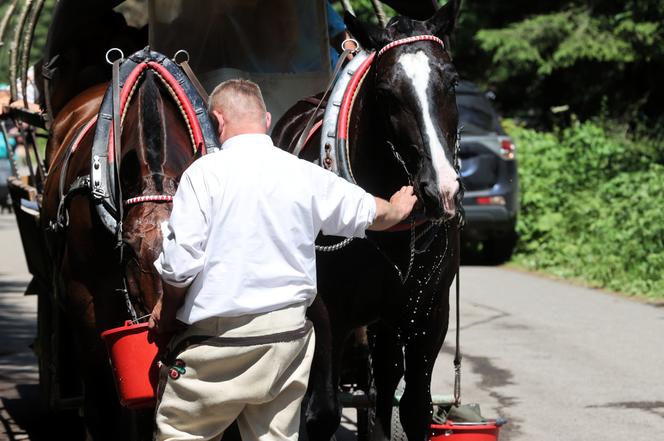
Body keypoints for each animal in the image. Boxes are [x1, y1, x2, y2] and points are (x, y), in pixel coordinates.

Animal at [272, 1, 462, 438]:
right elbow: (320, 410)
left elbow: (413, 407)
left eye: (452, 81)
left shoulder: (428, 314)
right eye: (385, 93)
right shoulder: (325, 312)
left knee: (384, 386)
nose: (441, 189)